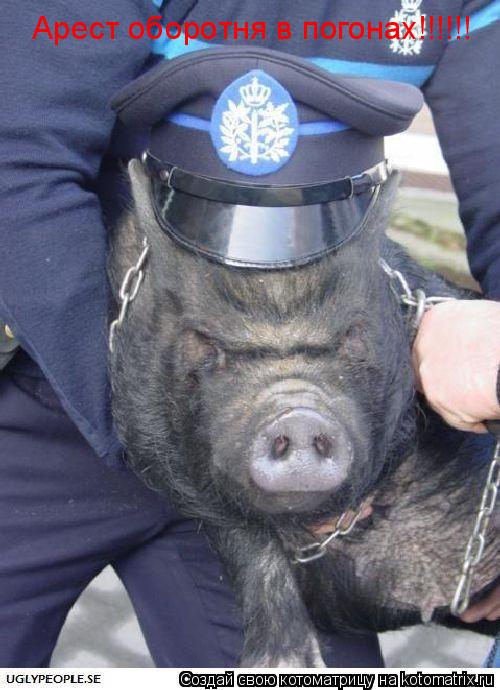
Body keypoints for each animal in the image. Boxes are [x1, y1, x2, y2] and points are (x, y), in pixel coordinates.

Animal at [108, 160, 499, 667]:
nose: (297, 415)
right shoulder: (153, 444)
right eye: (209, 343)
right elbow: (242, 533)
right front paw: (284, 663)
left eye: (350, 334)